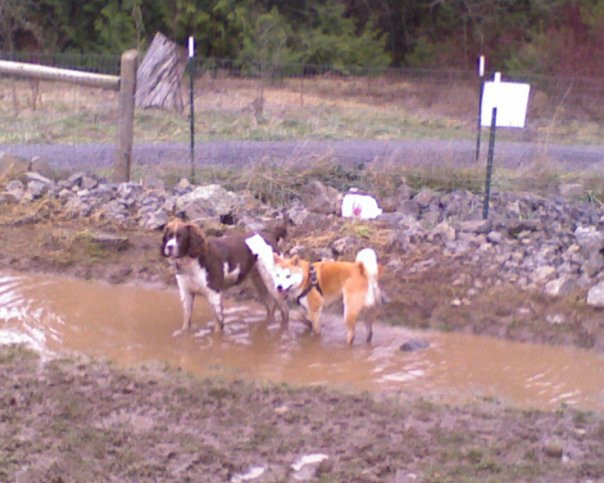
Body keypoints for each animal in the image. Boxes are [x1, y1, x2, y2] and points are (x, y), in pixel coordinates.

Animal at [162, 220, 290, 336]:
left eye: (181, 237)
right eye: (169, 236)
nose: (169, 247)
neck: (191, 262)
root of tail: (271, 235)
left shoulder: (214, 294)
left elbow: (218, 325)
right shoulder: (186, 293)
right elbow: (186, 321)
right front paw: (184, 334)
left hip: (272, 282)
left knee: (285, 310)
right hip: (259, 279)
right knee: (271, 305)